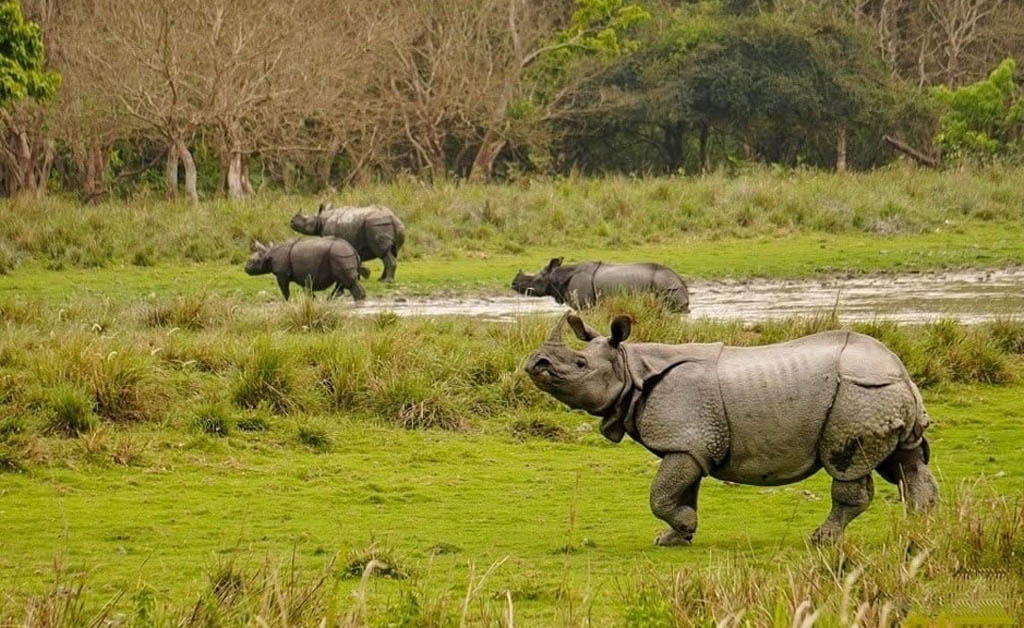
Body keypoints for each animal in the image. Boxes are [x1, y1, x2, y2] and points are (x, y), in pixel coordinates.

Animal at [512, 258, 689, 312]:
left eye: (535, 280)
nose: (513, 283)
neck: (557, 277)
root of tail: (680, 280)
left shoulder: (585, 305)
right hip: (670, 286)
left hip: (668, 287)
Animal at [524, 313, 938, 546]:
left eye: (579, 365)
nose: (535, 363)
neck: (631, 368)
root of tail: (902, 373)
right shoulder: (690, 444)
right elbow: (680, 492)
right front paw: (676, 537)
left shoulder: (686, 441)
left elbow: (660, 495)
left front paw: (680, 529)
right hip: (879, 395)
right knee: (906, 463)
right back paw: (917, 531)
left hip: (859, 394)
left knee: (849, 468)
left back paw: (822, 540)